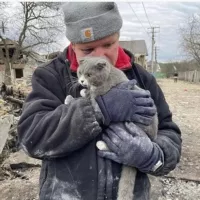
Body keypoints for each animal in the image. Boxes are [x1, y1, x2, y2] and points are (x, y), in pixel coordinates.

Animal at [65, 56, 158, 200]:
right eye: (80, 72)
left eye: (89, 75)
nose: (81, 81)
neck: (107, 77)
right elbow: (87, 95)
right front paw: (83, 91)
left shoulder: (98, 99)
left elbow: (88, 101)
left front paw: (70, 99)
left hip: (125, 125)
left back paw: (102, 144)